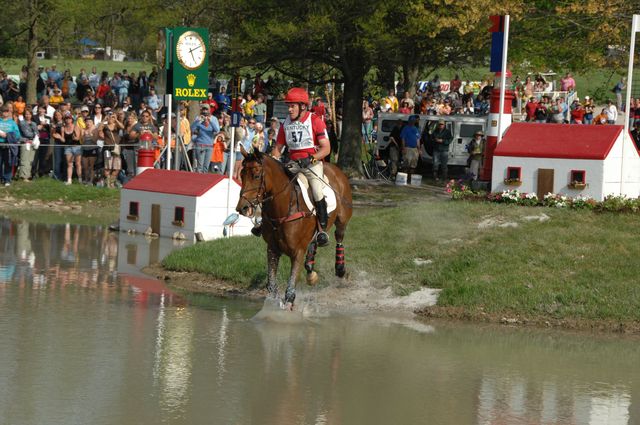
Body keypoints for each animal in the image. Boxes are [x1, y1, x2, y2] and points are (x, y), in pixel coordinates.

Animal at [236, 150, 352, 308]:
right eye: (241, 175)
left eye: (256, 176)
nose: (242, 208)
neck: (283, 208)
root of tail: (336, 169)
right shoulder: (272, 249)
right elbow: (272, 286)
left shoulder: (297, 252)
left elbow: (290, 292)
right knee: (315, 242)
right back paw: (311, 270)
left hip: (342, 220)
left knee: (339, 237)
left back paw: (340, 269)